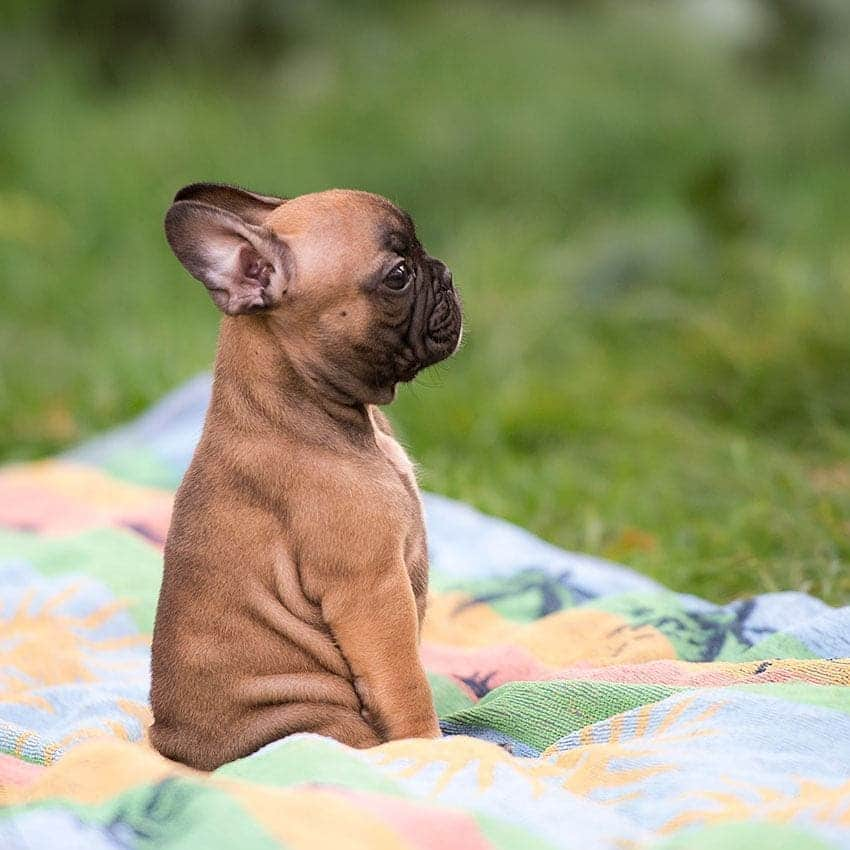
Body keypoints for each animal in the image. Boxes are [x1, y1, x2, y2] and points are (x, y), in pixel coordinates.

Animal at [149, 184, 460, 768]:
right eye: (398, 275)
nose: (447, 272)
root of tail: (175, 752)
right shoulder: (372, 590)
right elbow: (406, 683)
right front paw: (427, 746)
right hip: (320, 722)